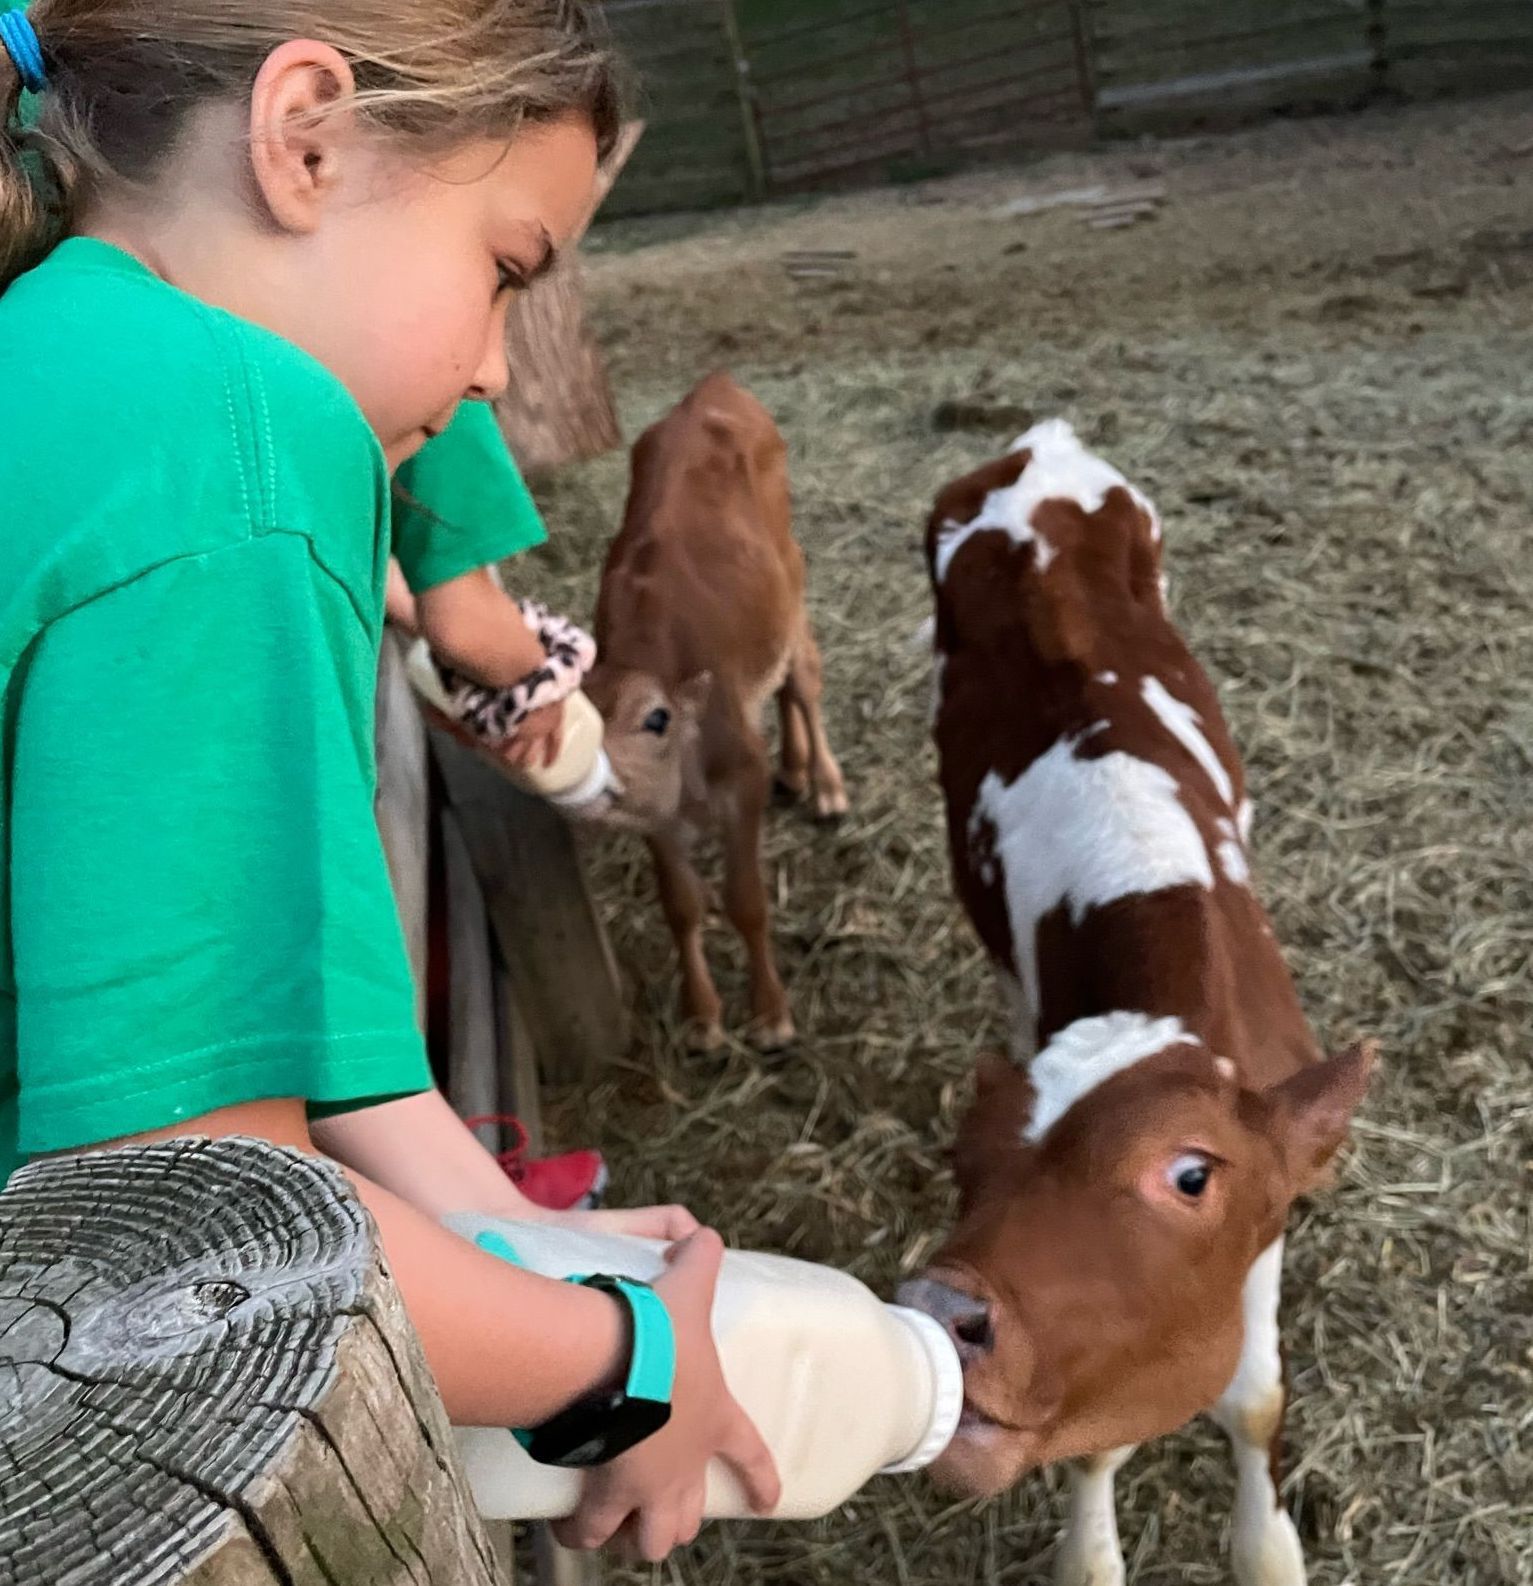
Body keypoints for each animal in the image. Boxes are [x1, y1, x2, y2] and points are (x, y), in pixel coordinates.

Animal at [583, 371, 849, 1053]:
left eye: (655, 719)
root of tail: (713, 386)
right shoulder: (656, 813)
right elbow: (680, 905)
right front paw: (702, 1018)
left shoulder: (742, 778)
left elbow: (745, 899)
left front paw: (771, 1015)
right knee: (778, 686)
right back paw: (796, 770)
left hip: (791, 582)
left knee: (803, 679)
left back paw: (826, 784)